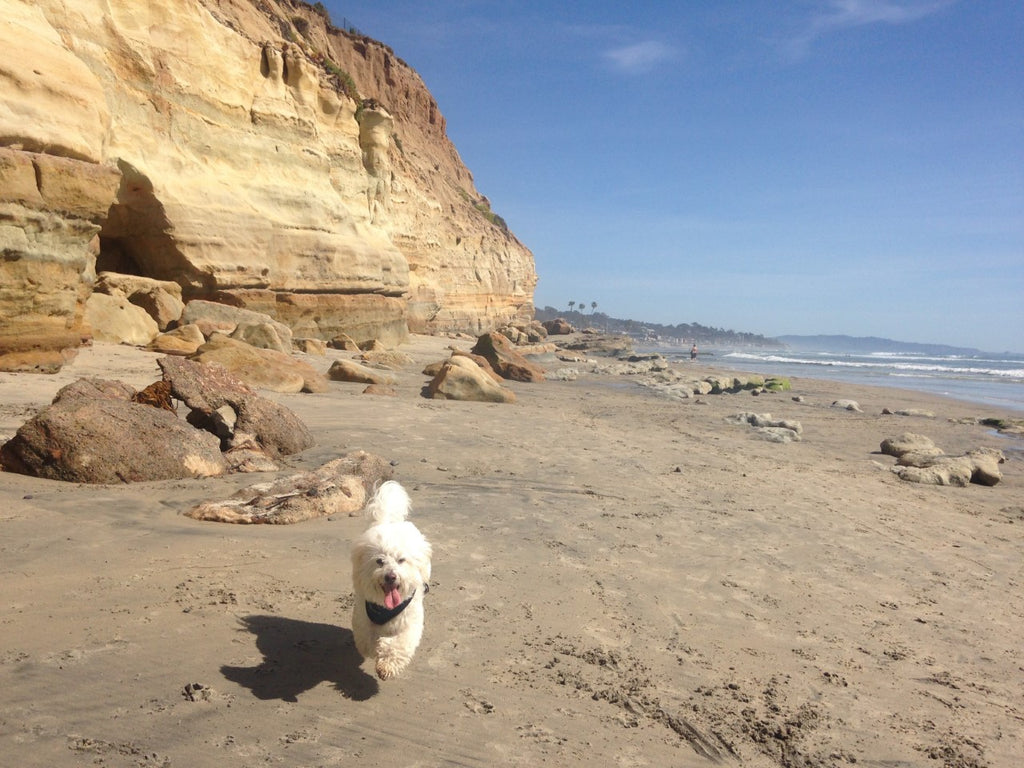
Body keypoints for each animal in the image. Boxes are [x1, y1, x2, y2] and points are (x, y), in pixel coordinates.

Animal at [352, 481, 432, 679]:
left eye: (401, 560)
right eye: (379, 561)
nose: (391, 576)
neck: (385, 609)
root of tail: (389, 523)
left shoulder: (410, 623)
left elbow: (399, 645)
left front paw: (387, 664)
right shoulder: (363, 619)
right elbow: (367, 641)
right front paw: (378, 649)